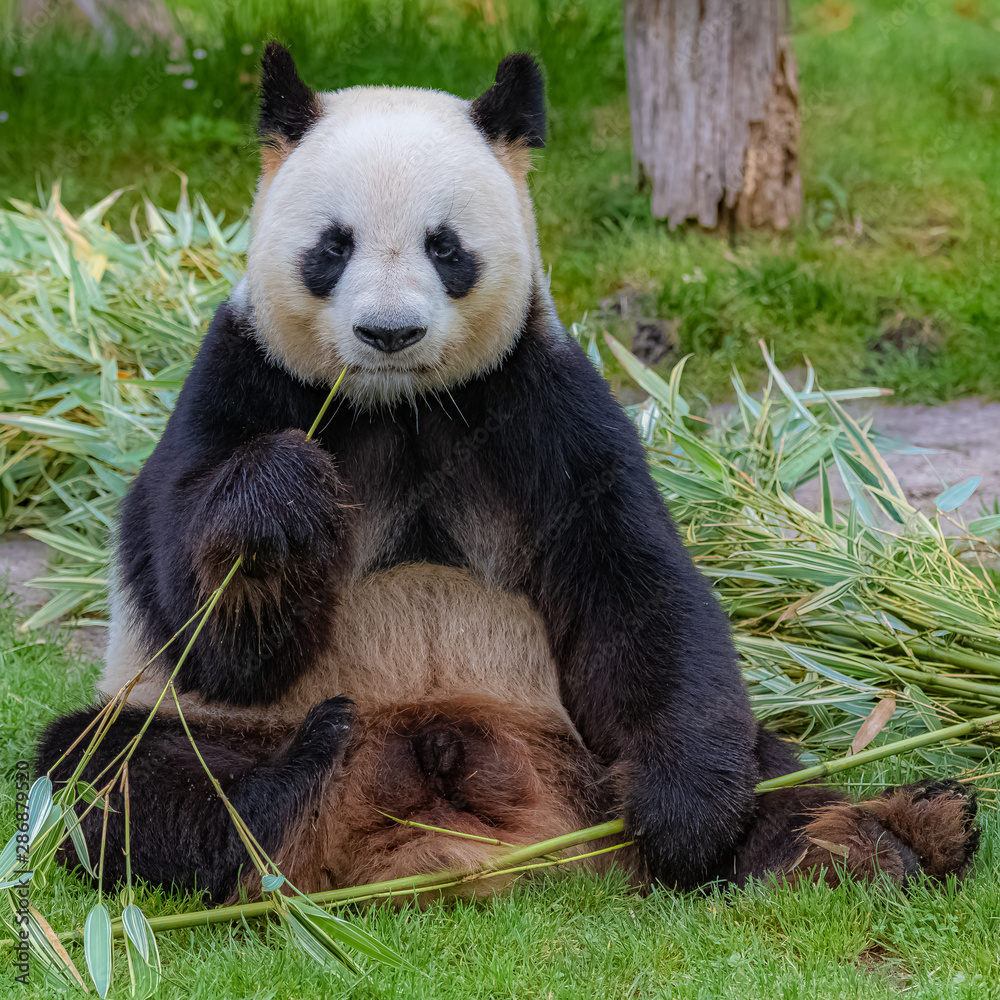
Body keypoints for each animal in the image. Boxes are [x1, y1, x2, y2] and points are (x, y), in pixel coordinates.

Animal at [38, 44, 978, 902]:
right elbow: (207, 622)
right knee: (109, 777)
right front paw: (284, 499)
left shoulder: (537, 400)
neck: (400, 406)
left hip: (584, 740)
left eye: (445, 247)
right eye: (332, 247)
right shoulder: (244, 381)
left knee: (767, 761)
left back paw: (882, 837)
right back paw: (301, 774)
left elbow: (636, 588)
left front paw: (683, 819)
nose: (388, 333)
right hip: (189, 727)